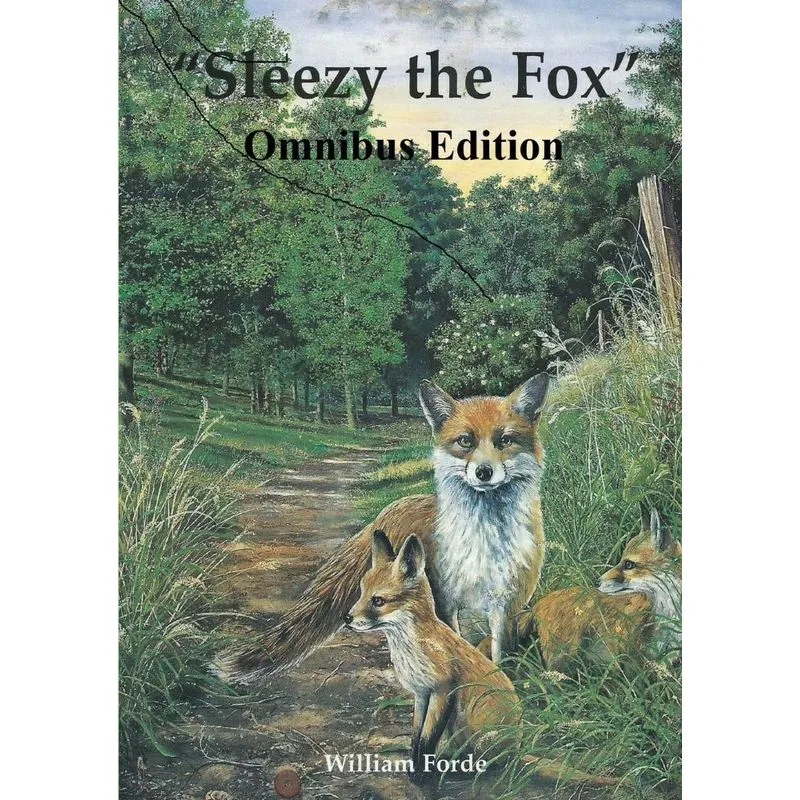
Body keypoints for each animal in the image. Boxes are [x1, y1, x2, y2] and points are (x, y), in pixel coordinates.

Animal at [227, 374, 550, 679]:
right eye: (465, 441)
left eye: (504, 440)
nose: (484, 472)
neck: (483, 537)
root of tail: (390, 508)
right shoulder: (445, 602)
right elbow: (452, 646)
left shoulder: (507, 604)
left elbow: (500, 655)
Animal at [346, 530, 623, 788]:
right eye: (361, 593)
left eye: (378, 601)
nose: (347, 619)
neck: (414, 646)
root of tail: (517, 748)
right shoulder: (422, 693)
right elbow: (416, 738)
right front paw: (415, 768)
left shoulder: (442, 690)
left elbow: (427, 739)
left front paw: (420, 776)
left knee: (489, 764)